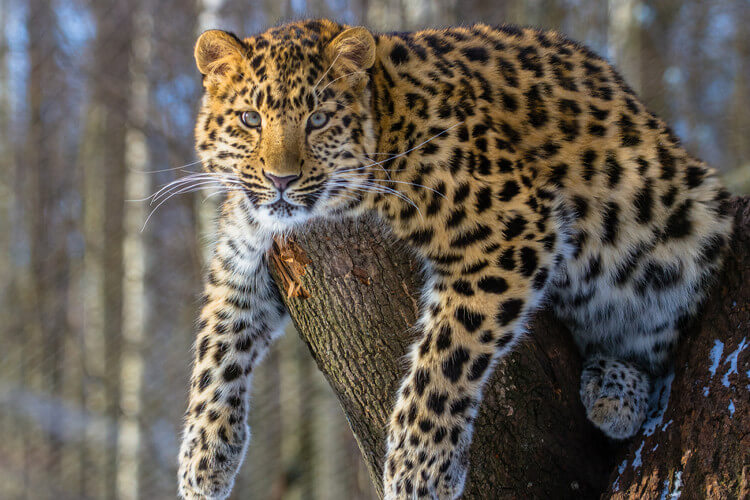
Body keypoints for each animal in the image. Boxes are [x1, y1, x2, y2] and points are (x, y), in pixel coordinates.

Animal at [177, 19, 733, 499]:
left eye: (317, 120)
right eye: (250, 119)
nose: (281, 180)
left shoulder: (513, 227)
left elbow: (446, 353)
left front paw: (417, 471)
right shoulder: (242, 255)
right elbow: (214, 345)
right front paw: (201, 461)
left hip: (689, 225)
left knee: (657, 346)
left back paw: (618, 392)